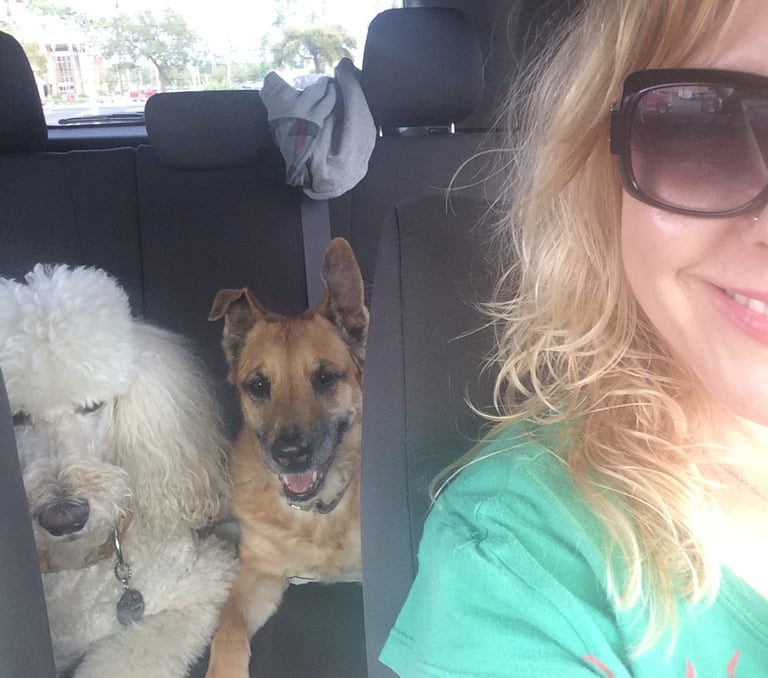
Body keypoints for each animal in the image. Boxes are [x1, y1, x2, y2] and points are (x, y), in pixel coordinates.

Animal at [205, 237, 367, 678]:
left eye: (325, 377)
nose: (290, 455)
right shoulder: (257, 573)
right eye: (258, 385)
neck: (317, 513)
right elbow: (227, 627)